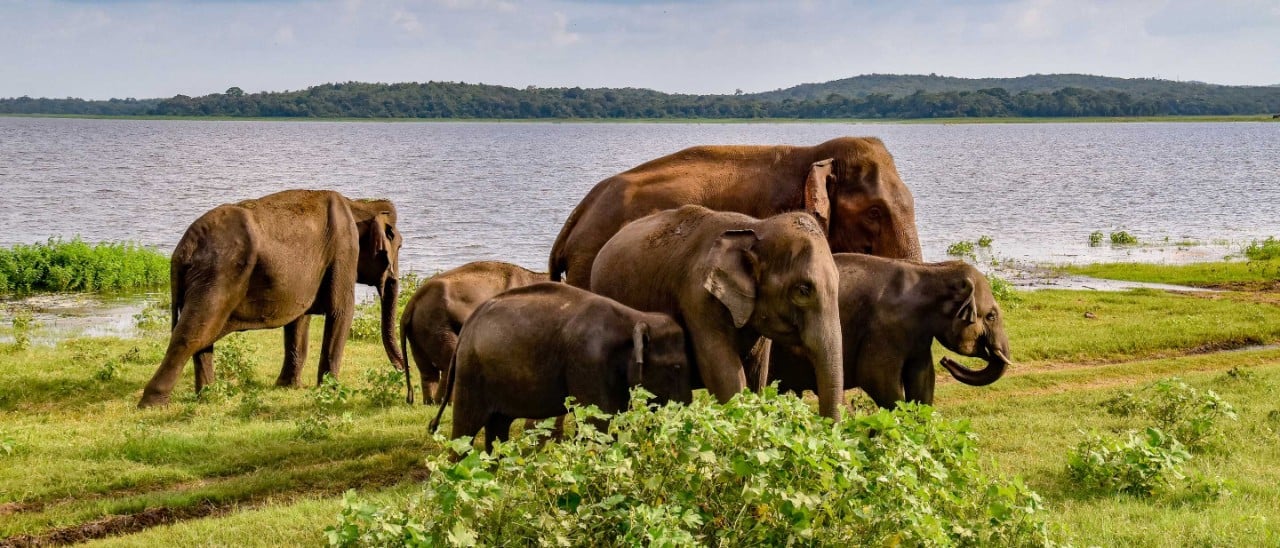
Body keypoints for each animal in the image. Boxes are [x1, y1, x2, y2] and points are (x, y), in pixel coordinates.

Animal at [138, 189, 406, 408]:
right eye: (399, 245)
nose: (402, 372)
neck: (358, 204)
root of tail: (184, 248)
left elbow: (299, 320)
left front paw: (288, 386)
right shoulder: (344, 250)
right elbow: (341, 312)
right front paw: (331, 390)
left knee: (203, 336)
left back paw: (208, 396)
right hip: (217, 276)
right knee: (191, 334)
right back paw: (153, 404)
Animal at [400, 261, 546, 405]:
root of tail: (413, 301)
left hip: (418, 331)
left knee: (427, 370)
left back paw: (431, 403)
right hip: (435, 323)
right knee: (450, 362)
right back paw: (443, 402)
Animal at [428, 282, 692, 452]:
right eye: (677, 368)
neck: (634, 316)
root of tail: (466, 328)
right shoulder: (587, 362)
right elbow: (599, 421)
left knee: (498, 427)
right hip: (471, 374)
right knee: (466, 429)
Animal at [768, 254, 1012, 409]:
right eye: (991, 316)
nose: (946, 361)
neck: (933, 271)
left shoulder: (919, 337)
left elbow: (923, 379)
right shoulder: (883, 329)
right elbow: (875, 378)